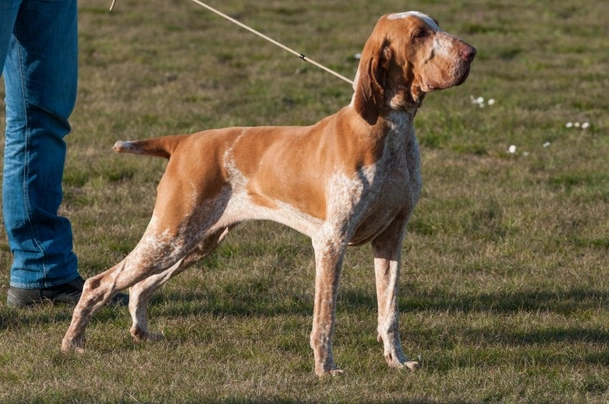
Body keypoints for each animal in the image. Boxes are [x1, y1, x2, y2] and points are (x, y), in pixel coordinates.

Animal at [61, 11, 472, 376]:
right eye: (419, 34)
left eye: (436, 24)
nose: (471, 52)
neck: (390, 130)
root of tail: (183, 141)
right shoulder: (331, 242)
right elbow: (325, 319)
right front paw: (325, 369)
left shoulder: (391, 238)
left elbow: (390, 313)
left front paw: (397, 362)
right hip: (170, 236)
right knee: (100, 283)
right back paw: (72, 343)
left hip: (194, 242)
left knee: (139, 288)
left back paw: (141, 333)